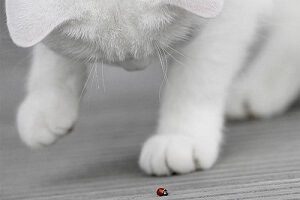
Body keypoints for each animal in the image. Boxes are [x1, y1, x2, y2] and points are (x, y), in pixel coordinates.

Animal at [5, 0, 300, 175]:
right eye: (109, 58)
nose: (136, 65)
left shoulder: (228, 15)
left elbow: (196, 76)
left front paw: (182, 136)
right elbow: (53, 56)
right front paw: (46, 105)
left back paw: (260, 89)